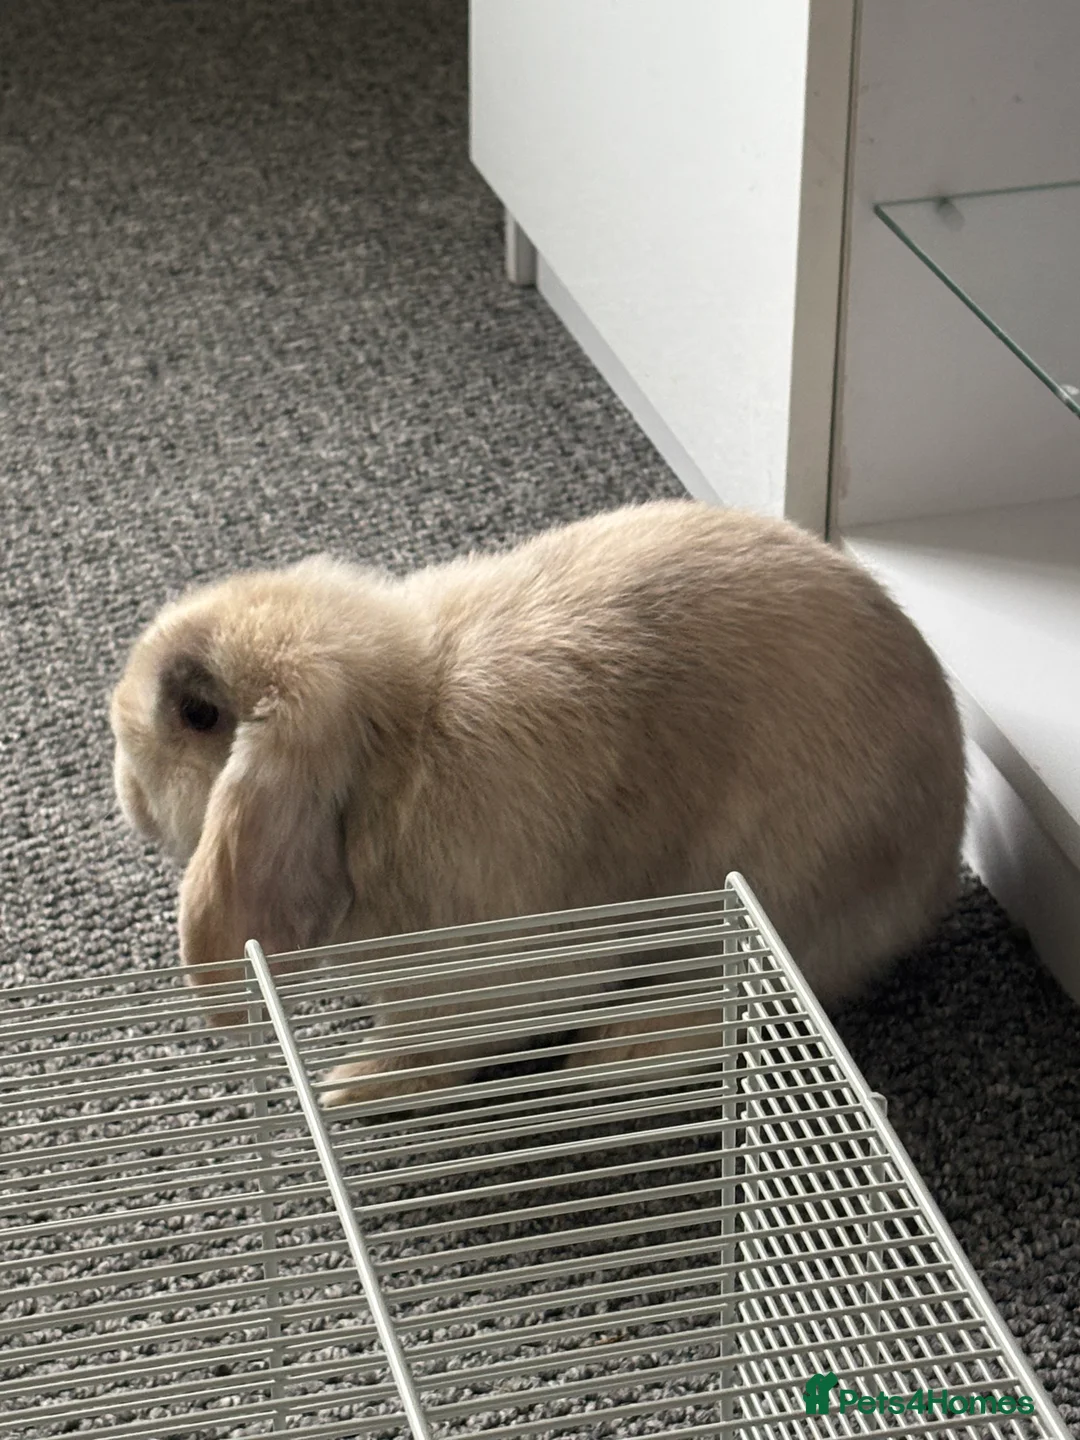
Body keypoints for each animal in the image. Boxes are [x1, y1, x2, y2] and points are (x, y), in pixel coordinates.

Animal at [110, 499, 967, 1106]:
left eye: (195, 713)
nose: (121, 774)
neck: (395, 747)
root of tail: (940, 860)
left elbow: (438, 1043)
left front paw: (353, 1086)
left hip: (767, 893)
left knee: (737, 1001)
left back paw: (616, 1053)